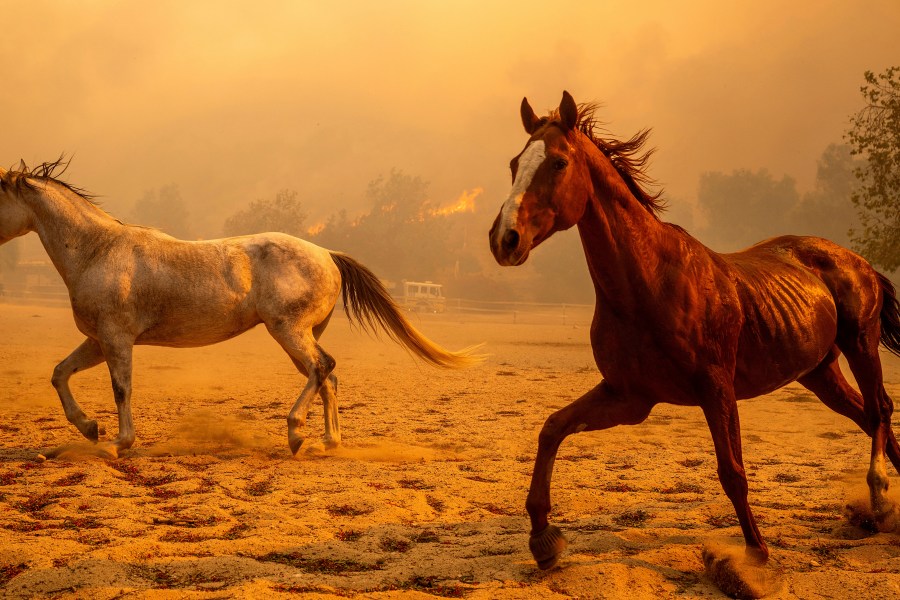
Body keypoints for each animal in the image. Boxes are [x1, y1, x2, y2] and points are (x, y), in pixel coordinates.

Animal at [0, 158, 482, 454]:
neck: (98, 250)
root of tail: (327, 254)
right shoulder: (98, 341)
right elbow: (59, 374)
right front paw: (90, 428)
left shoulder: (116, 339)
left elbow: (122, 389)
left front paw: (118, 442)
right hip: (298, 335)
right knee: (326, 376)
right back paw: (328, 442)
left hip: (288, 330)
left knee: (322, 368)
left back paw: (295, 432)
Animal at [492, 91, 900, 568]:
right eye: (514, 164)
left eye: (558, 162)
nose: (505, 239)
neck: (650, 282)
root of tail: (858, 261)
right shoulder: (629, 397)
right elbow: (552, 428)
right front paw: (543, 538)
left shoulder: (715, 388)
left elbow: (732, 471)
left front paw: (756, 555)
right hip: (820, 373)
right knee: (866, 415)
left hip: (861, 344)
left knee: (879, 410)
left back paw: (879, 496)